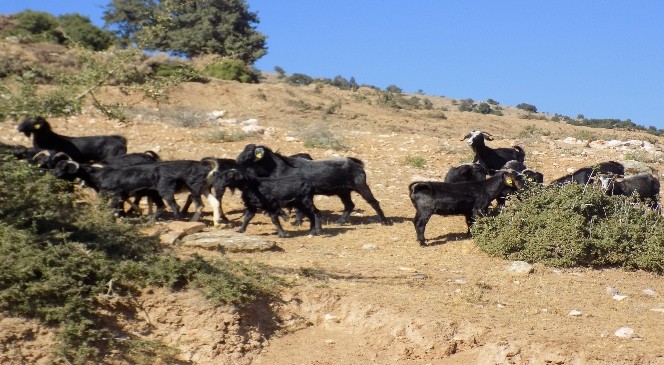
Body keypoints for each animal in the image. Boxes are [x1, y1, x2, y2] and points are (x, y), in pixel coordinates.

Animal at [235, 143, 390, 223]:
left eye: (249, 153)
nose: (237, 161)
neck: (281, 167)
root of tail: (356, 164)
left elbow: (298, 209)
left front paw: (296, 222)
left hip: (361, 186)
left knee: (374, 202)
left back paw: (384, 221)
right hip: (343, 192)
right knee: (349, 205)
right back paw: (340, 221)